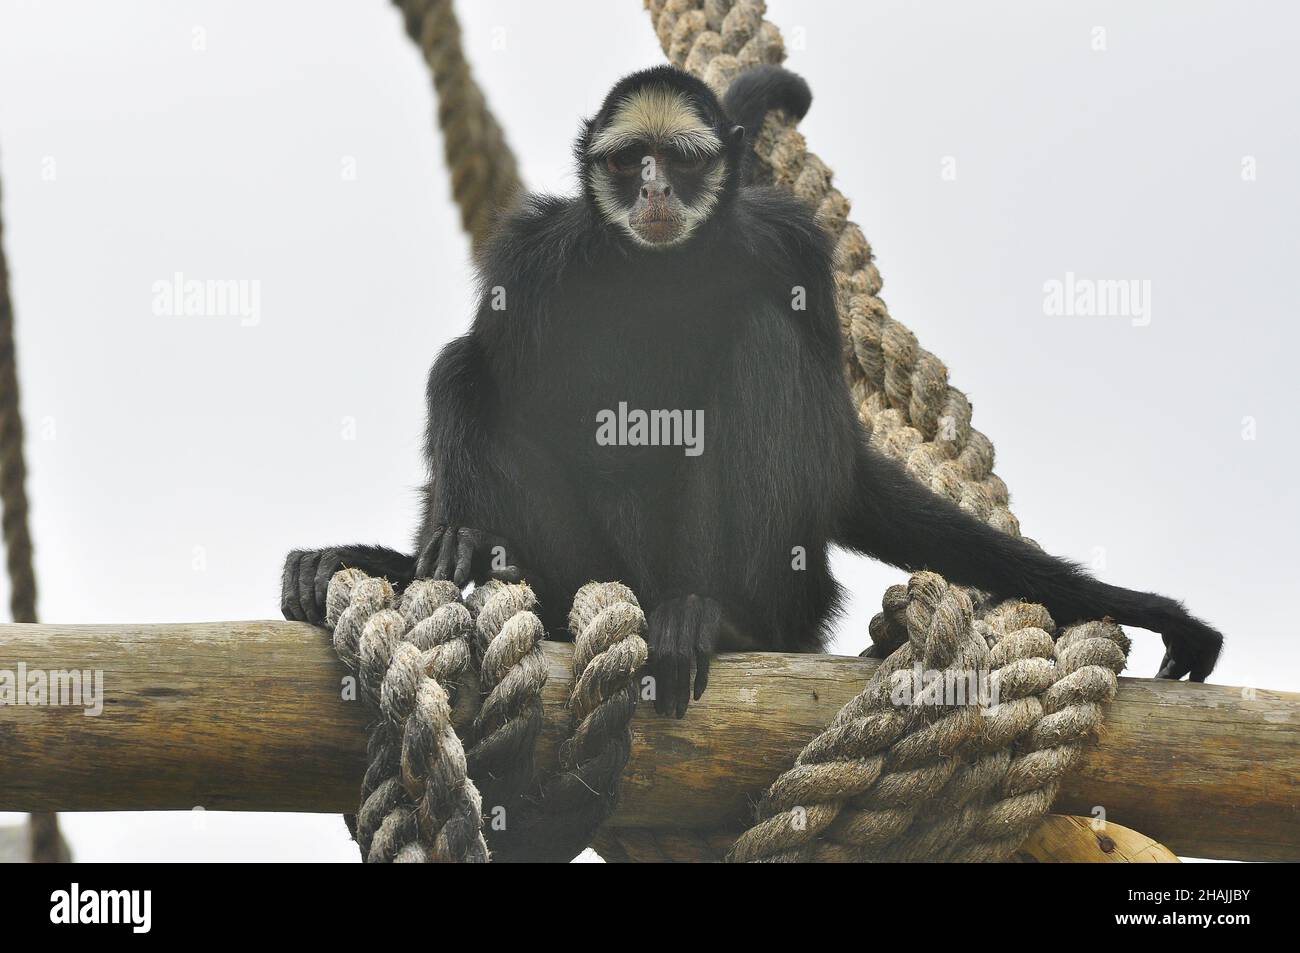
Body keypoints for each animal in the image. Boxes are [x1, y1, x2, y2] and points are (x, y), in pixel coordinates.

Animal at [279, 65, 1222, 712]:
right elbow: (480, 370)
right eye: (630, 160)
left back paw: (722, 621)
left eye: (679, 161)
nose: (653, 186)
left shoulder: (788, 245)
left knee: (763, 346)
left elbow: (843, 465)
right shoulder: (534, 257)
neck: (657, 274)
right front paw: (417, 551)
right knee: (465, 369)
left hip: (790, 587)